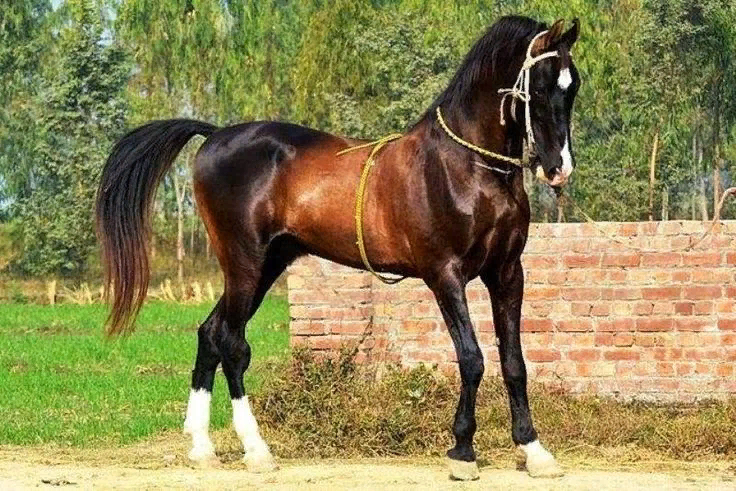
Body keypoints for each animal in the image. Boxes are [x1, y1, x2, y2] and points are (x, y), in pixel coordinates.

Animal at [96, 15, 580, 480]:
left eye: (572, 86)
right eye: (539, 86)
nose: (558, 168)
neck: (467, 168)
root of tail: (215, 135)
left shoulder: (507, 273)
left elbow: (514, 363)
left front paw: (534, 451)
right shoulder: (446, 276)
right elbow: (472, 359)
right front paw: (462, 452)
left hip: (266, 265)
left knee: (210, 333)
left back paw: (202, 447)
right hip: (243, 262)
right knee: (231, 342)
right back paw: (257, 451)